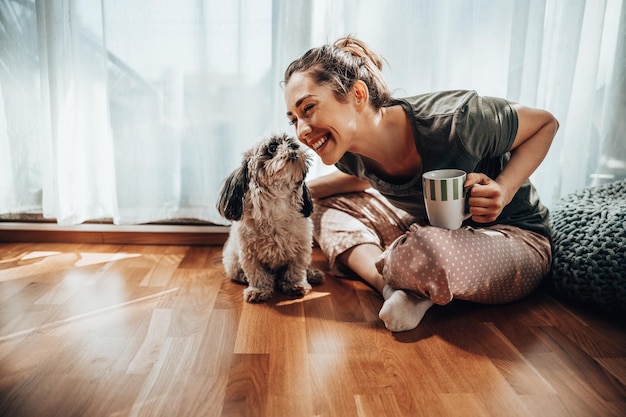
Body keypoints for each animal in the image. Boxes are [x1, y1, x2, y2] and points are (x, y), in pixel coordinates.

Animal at [216, 132, 322, 302]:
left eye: (293, 144)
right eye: (272, 148)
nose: (294, 148)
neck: (277, 203)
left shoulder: (301, 249)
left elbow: (295, 270)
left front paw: (295, 285)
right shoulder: (250, 254)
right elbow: (257, 274)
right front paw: (259, 290)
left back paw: (311, 273)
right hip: (232, 261)